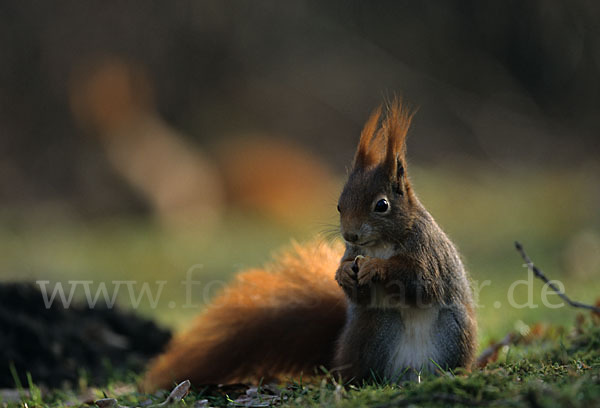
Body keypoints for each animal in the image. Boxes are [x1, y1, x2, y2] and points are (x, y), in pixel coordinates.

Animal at [143, 100, 476, 390]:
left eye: (382, 205)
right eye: (340, 206)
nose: (350, 236)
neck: (381, 243)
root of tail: (410, 374)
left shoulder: (429, 252)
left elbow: (423, 281)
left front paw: (377, 268)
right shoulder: (353, 255)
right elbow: (359, 291)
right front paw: (343, 274)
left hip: (453, 331)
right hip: (373, 328)